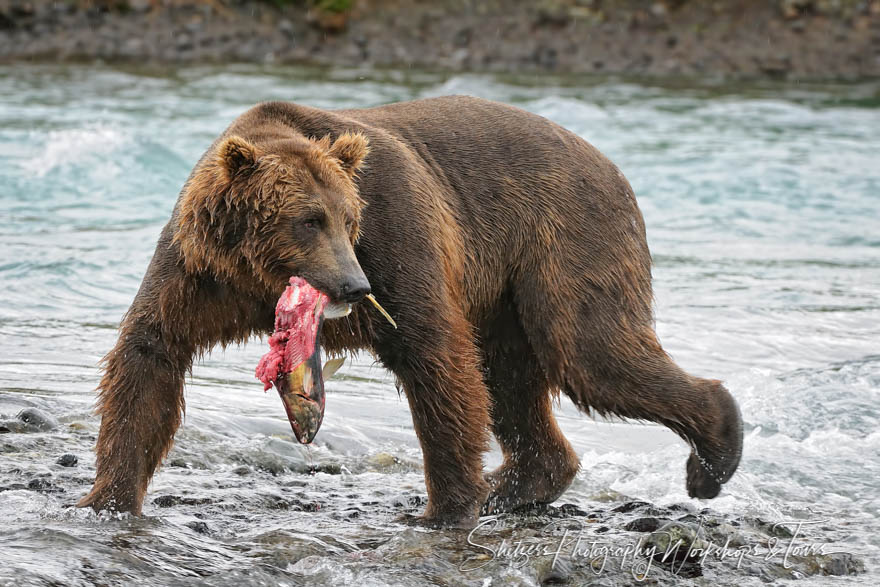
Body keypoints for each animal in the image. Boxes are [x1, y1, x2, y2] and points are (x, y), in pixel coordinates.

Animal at [77, 95, 744, 528]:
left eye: (348, 219)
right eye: (308, 219)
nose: (353, 286)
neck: (259, 276)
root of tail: (613, 166)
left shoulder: (396, 235)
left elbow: (433, 353)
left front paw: (446, 506)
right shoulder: (198, 272)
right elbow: (149, 355)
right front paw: (108, 499)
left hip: (564, 239)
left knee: (590, 351)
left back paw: (711, 456)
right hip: (508, 291)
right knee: (513, 378)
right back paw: (515, 484)